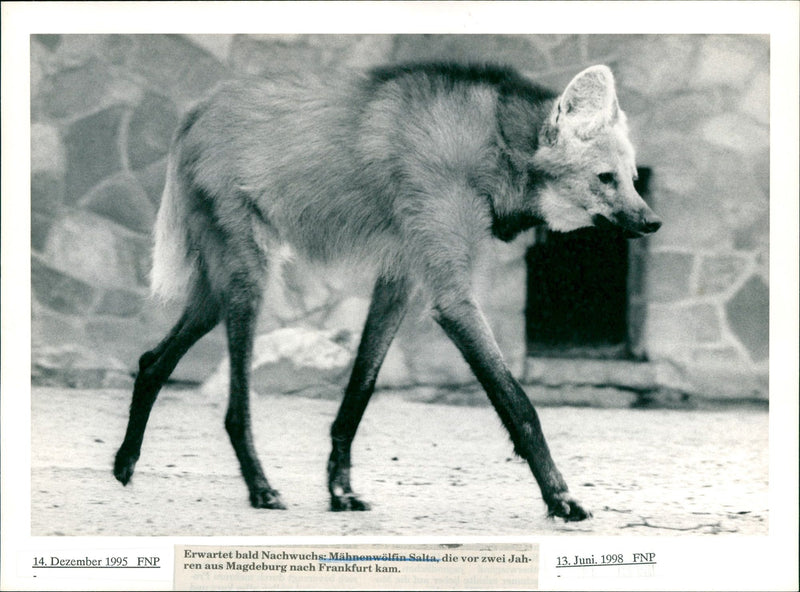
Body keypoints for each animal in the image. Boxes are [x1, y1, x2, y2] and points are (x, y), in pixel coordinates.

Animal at [113, 62, 660, 522]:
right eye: (604, 179)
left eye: (634, 179)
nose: (653, 221)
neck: (493, 148)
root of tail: (198, 108)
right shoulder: (450, 295)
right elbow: (518, 402)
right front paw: (561, 497)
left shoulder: (402, 277)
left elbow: (361, 388)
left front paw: (340, 490)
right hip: (250, 276)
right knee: (234, 406)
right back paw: (260, 489)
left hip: (220, 285)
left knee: (153, 360)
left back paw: (125, 464)